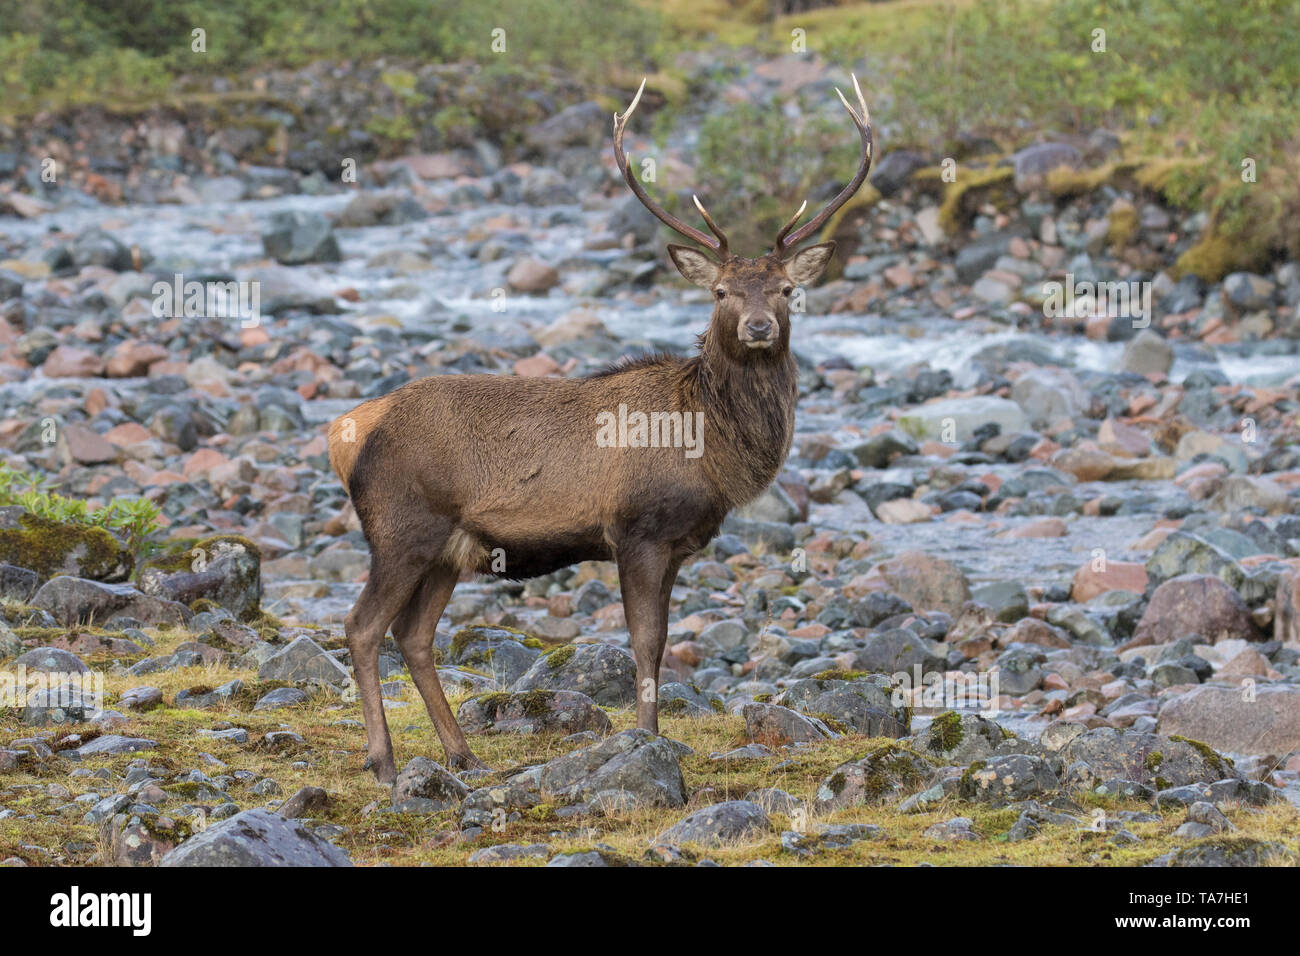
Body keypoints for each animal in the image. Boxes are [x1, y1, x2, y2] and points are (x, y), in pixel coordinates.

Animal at [325, 72, 873, 780]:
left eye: (784, 290)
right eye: (720, 292)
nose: (759, 326)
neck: (711, 447)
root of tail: (345, 430)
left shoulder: (676, 545)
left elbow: (659, 642)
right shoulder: (637, 530)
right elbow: (645, 641)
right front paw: (646, 738)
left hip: (449, 546)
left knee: (414, 635)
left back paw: (462, 752)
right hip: (400, 527)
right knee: (362, 626)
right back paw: (386, 761)